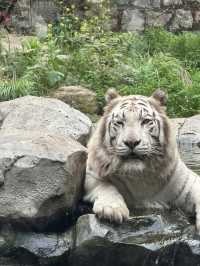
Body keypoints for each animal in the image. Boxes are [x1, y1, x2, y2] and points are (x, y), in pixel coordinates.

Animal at [83, 88, 200, 232]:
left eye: (145, 121)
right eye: (120, 122)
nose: (131, 142)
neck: (138, 176)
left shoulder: (188, 181)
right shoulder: (91, 174)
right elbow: (106, 186)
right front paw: (112, 210)